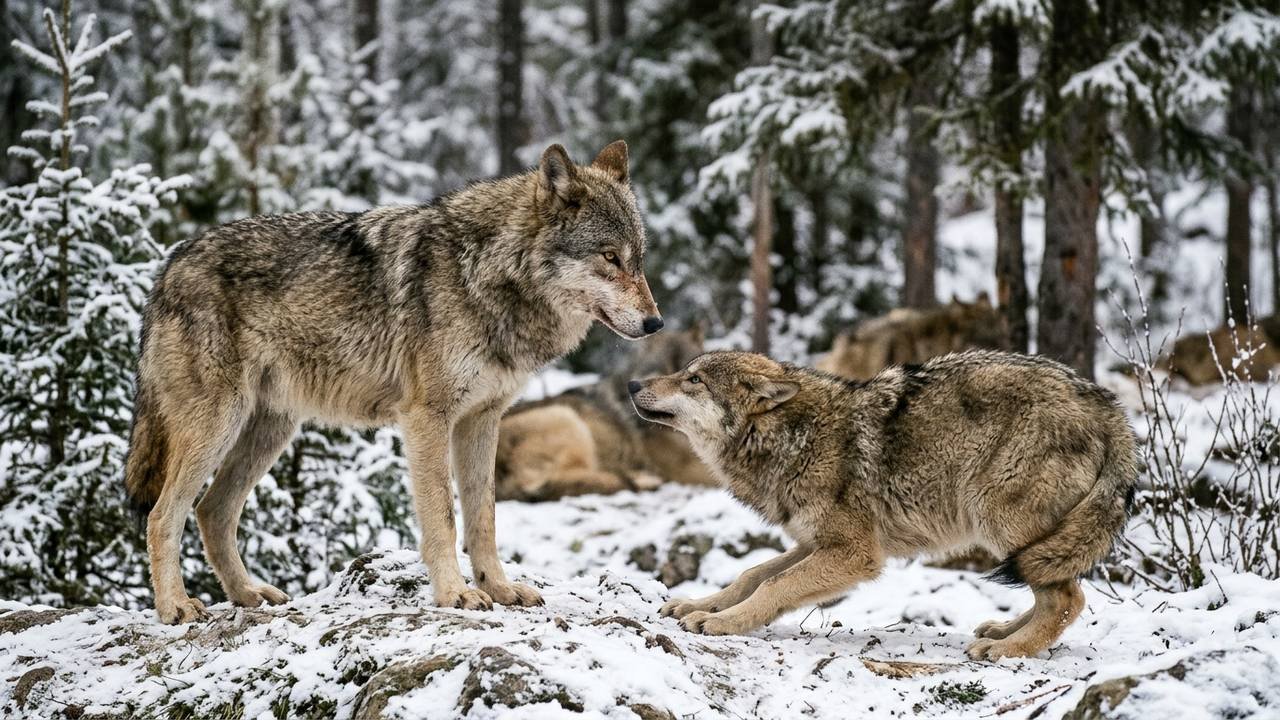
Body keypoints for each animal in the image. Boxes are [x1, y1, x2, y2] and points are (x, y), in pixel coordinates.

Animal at [125, 141, 661, 623]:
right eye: (609, 257)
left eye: (638, 259)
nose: (655, 323)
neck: (487, 275)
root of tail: (167, 266)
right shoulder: (428, 418)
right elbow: (443, 517)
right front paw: (456, 594)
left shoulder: (482, 420)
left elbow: (483, 519)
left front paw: (500, 589)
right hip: (218, 427)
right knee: (162, 516)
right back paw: (175, 607)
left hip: (269, 431)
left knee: (212, 512)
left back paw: (248, 596)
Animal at [629, 350, 1137, 660]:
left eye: (693, 379)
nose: (632, 382)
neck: (796, 437)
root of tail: (1108, 406)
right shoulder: (815, 542)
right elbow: (751, 575)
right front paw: (701, 605)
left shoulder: (855, 554)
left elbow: (773, 586)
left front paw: (724, 623)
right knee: (1052, 589)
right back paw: (1003, 632)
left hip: (994, 515)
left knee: (1069, 597)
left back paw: (1008, 650)